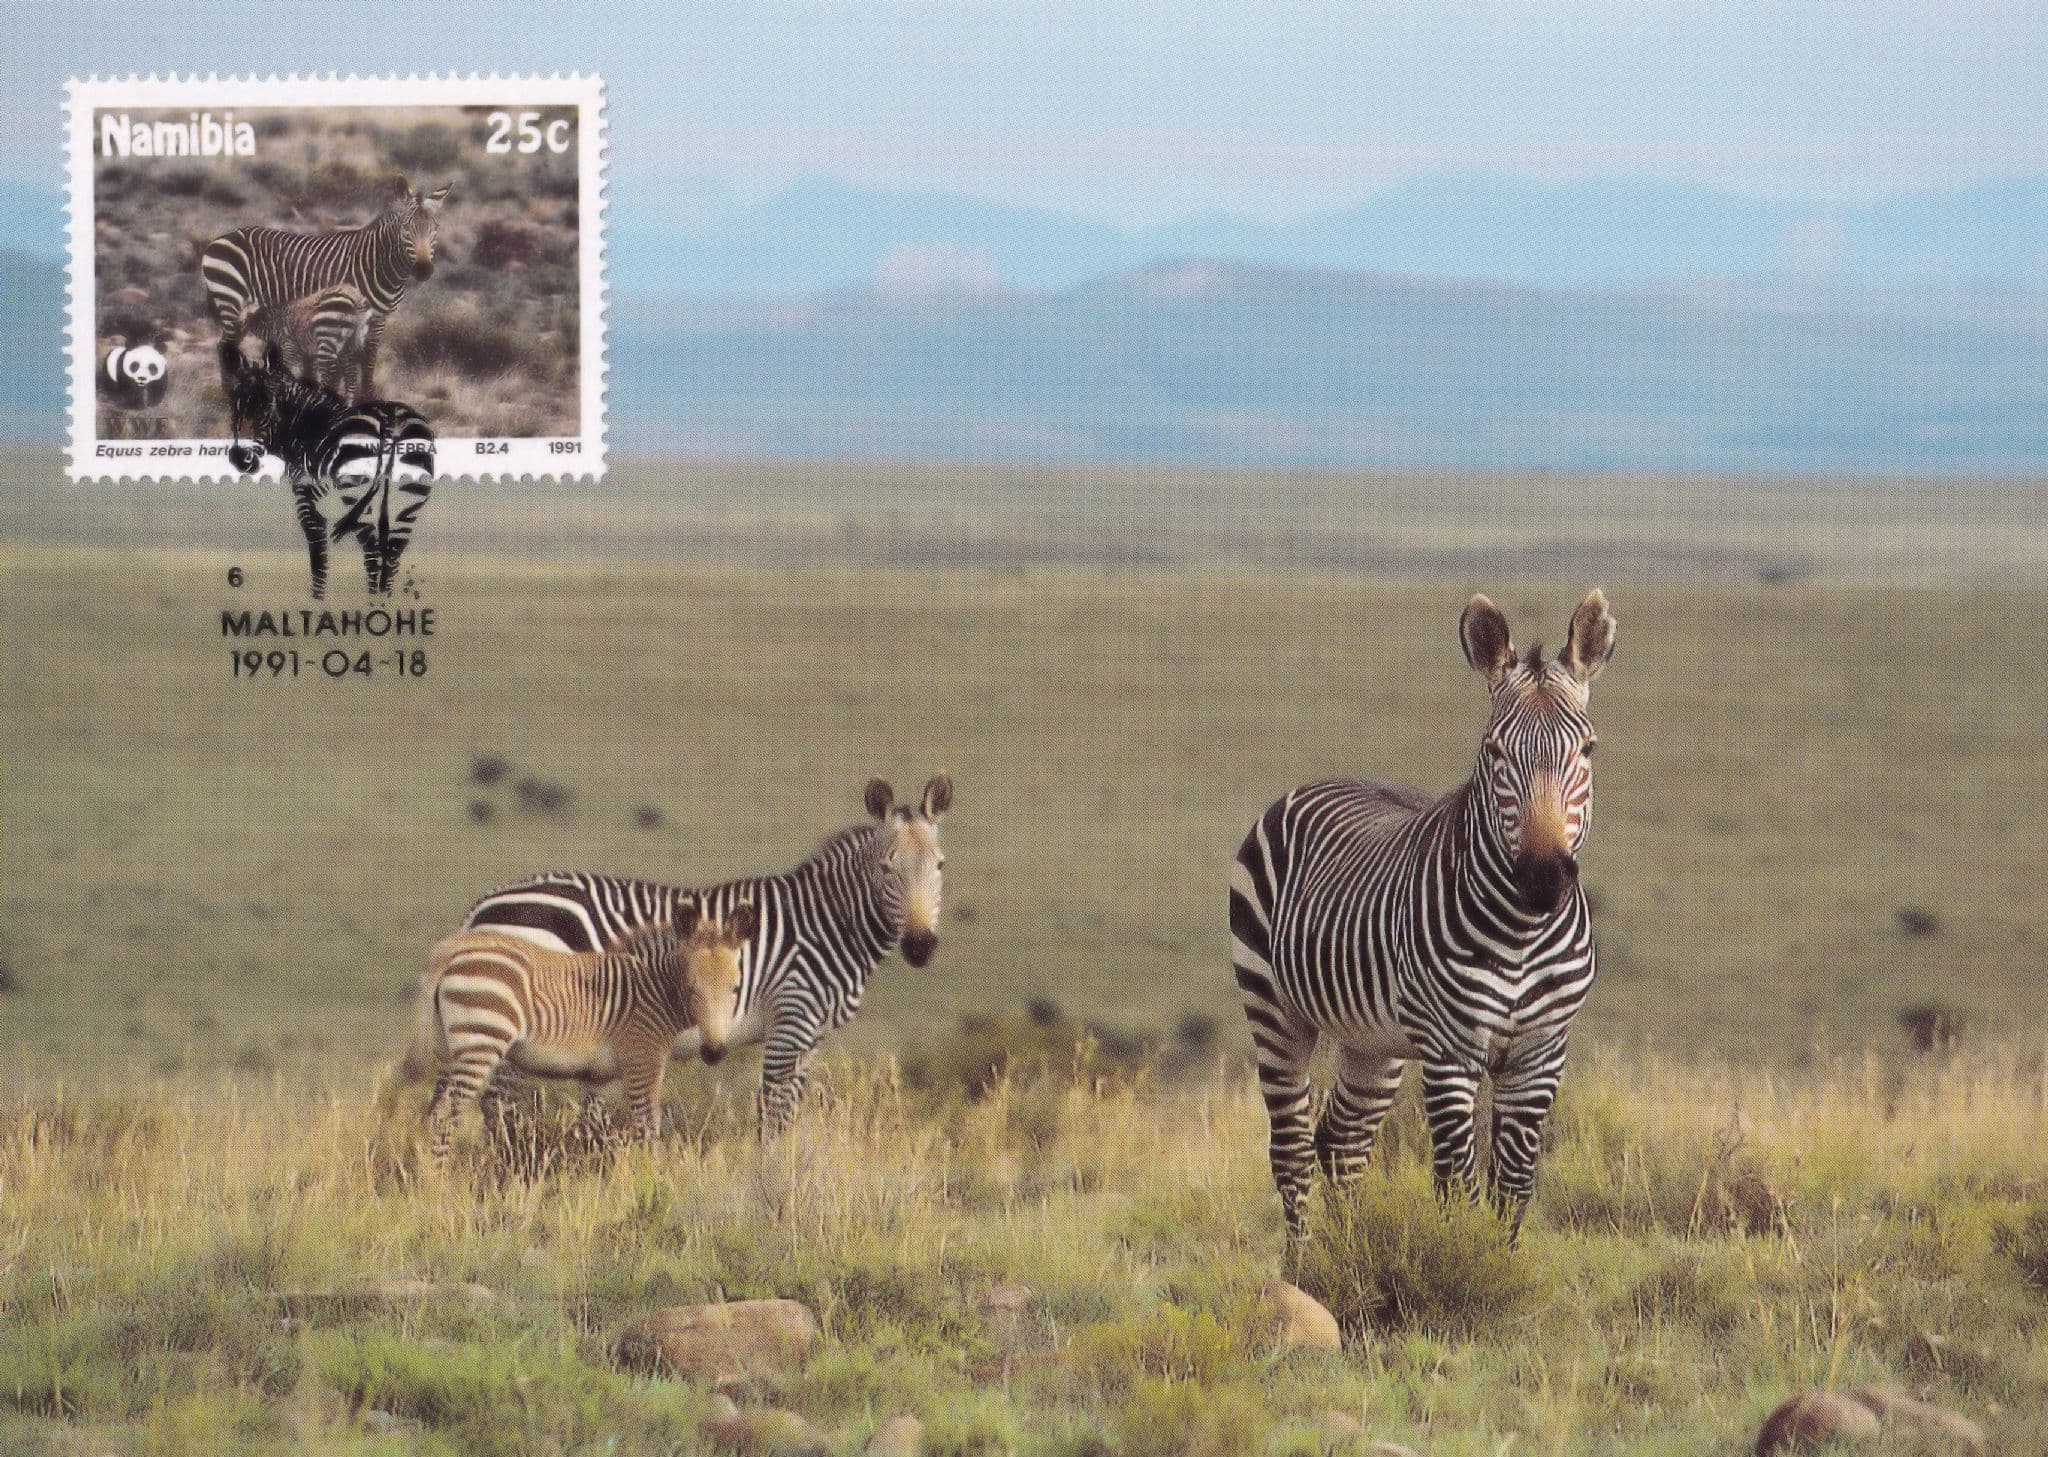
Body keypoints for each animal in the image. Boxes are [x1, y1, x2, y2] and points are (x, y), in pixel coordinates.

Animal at [202, 179, 450, 398]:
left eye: (435, 229)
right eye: (406, 228)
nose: (423, 270)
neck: (378, 264)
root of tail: (222, 237)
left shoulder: (378, 319)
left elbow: (369, 360)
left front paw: (367, 397)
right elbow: (346, 364)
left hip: (246, 309)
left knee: (229, 343)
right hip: (230, 298)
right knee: (225, 344)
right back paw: (228, 393)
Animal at [223, 343, 435, 599]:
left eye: (269, 405)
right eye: (234, 402)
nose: (239, 458)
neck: (308, 429)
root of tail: (389, 419)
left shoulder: (306, 499)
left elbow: (318, 555)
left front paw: (318, 600)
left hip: (357, 494)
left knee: (372, 551)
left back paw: (372, 603)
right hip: (409, 497)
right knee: (391, 553)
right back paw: (383, 603)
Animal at [412, 904, 756, 1165]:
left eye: (735, 988)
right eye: (691, 988)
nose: (714, 1052)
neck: (652, 992)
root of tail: (451, 953)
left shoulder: (600, 1076)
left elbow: (591, 1127)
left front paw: (589, 1174)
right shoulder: (642, 1059)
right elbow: (647, 1125)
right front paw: (653, 1176)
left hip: (451, 1048)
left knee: (435, 1110)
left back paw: (430, 1175)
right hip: (481, 1042)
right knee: (447, 1113)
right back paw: (441, 1181)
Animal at [462, 773, 952, 1139]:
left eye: (940, 866)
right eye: (886, 868)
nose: (921, 946)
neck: (827, 923)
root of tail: (485, 903)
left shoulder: (810, 1037)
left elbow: (790, 1114)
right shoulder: (790, 1021)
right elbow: (772, 1117)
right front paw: (770, 1182)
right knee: (499, 1103)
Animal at [1230, 590, 1617, 1241]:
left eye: (1586, 749)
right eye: (1494, 751)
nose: (1542, 877)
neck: (1522, 933)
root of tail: (1324, 779)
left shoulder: (1540, 1054)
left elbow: (1513, 1190)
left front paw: (1501, 1266)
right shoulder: (1449, 1051)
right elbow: (1458, 1186)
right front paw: (1461, 1259)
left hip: (1373, 1042)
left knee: (1341, 1141)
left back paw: (1347, 1251)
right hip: (1275, 1012)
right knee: (1291, 1152)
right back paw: (1303, 1262)